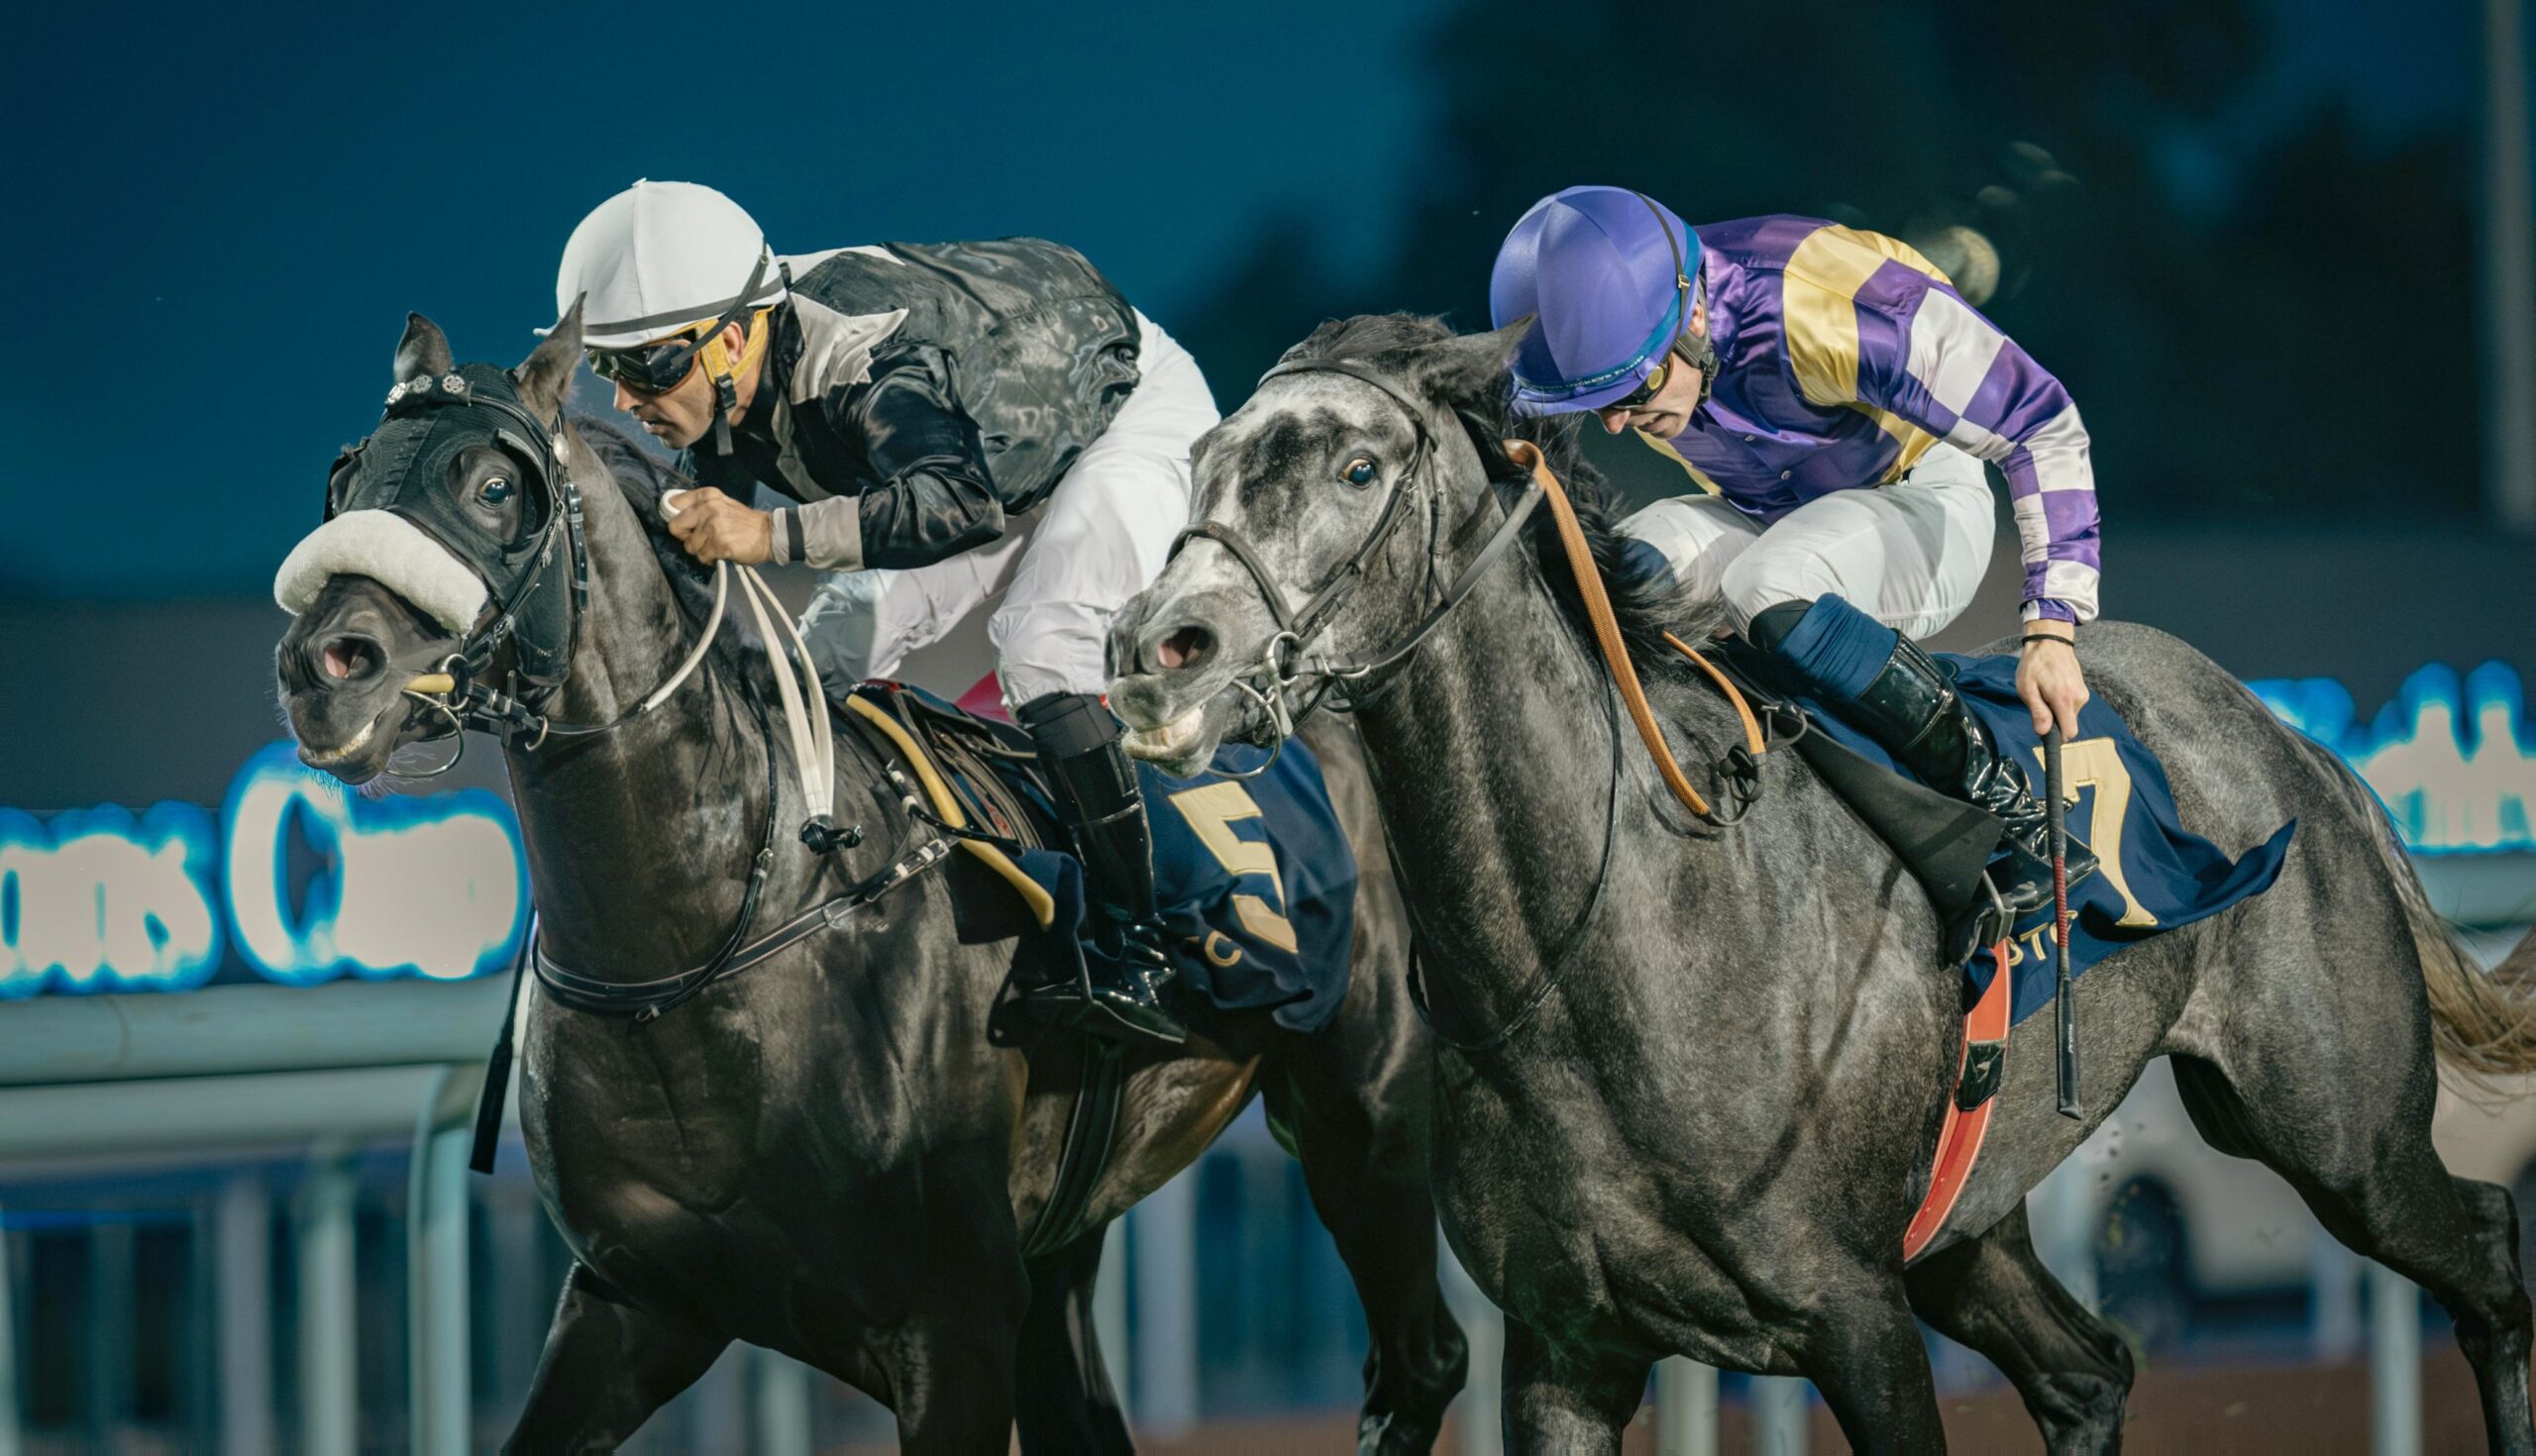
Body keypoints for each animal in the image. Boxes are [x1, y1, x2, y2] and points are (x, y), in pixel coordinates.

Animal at [270, 310, 1467, 1453]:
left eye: (492, 485)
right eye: (345, 478)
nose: (324, 667)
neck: (713, 934)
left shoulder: (953, 1323)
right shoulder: (636, 1302)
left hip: (1362, 1118)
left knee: (1422, 1367)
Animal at [1106, 312, 2536, 1453]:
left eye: (1356, 467)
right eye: (1204, 463)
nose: (1155, 652)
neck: (1602, 944)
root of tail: (2296, 744)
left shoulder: (1857, 1321)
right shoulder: (1570, 1347)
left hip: (2334, 1131)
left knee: (2488, 1257)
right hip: (1970, 1222)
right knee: (2088, 1373)